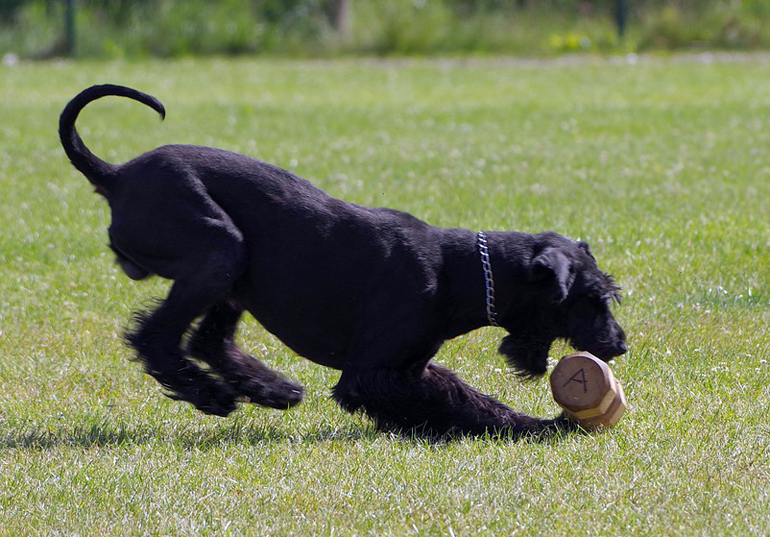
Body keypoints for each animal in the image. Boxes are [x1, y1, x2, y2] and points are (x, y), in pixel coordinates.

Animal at [59, 84, 627, 437]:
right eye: (593, 299)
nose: (619, 345)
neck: (461, 272)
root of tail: (117, 175)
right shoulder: (371, 373)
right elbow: (459, 403)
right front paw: (538, 427)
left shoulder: (409, 365)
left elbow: (456, 393)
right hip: (220, 251)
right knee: (155, 336)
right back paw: (210, 394)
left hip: (234, 275)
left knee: (207, 339)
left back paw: (271, 389)